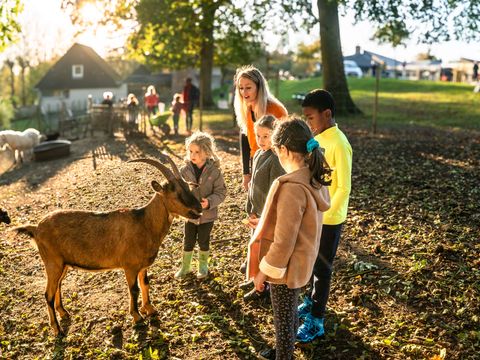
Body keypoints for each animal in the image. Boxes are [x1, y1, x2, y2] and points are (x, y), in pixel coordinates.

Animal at [13, 156, 201, 336]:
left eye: (188, 186)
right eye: (175, 192)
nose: (199, 208)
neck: (144, 222)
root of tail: (36, 228)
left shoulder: (142, 266)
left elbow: (145, 284)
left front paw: (150, 309)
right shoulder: (130, 267)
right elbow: (134, 289)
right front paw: (137, 317)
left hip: (62, 264)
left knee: (58, 286)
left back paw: (64, 313)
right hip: (52, 263)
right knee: (48, 294)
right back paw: (57, 330)